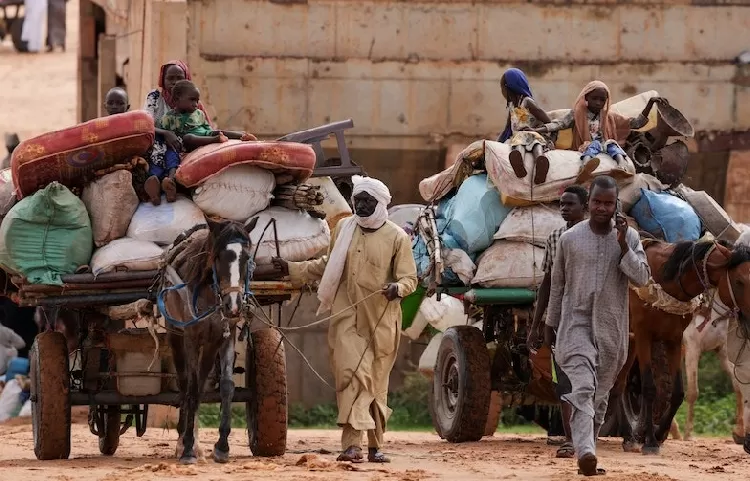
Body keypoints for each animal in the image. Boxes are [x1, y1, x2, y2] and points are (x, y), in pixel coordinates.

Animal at [0, 118, 364, 460]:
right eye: (217, 257)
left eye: (249, 256)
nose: (233, 304)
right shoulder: (189, 335)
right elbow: (190, 385)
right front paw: (189, 446)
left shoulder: (223, 335)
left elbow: (223, 386)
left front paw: (214, 445)